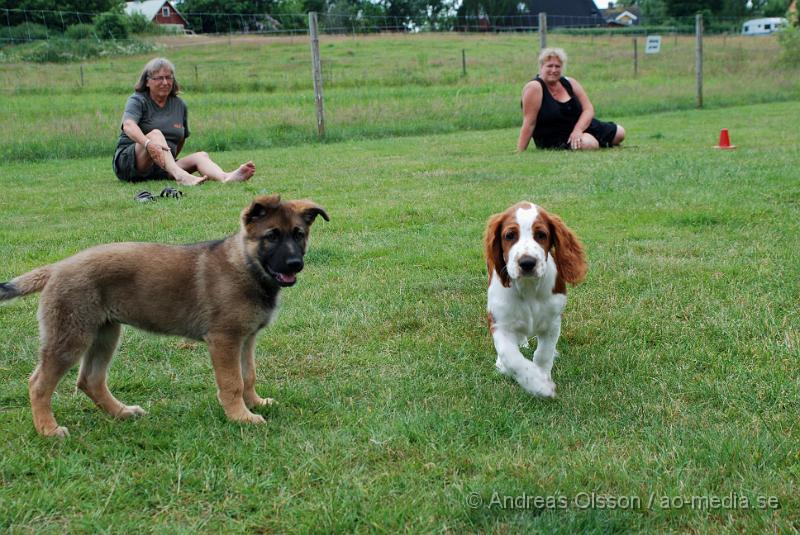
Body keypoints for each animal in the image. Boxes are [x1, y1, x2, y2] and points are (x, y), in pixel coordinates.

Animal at [0, 195, 328, 438]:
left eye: (299, 235)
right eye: (271, 236)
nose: (295, 264)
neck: (246, 265)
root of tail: (56, 267)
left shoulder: (246, 339)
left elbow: (248, 375)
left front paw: (255, 403)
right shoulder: (224, 340)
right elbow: (232, 382)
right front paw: (241, 417)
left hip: (105, 334)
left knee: (90, 380)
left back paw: (121, 413)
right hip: (71, 338)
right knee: (39, 384)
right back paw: (48, 429)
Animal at [482, 201, 588, 398]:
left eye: (541, 235)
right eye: (509, 235)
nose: (527, 263)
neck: (529, 287)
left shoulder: (553, 322)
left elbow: (543, 353)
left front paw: (542, 376)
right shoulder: (499, 322)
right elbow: (512, 357)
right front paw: (538, 384)